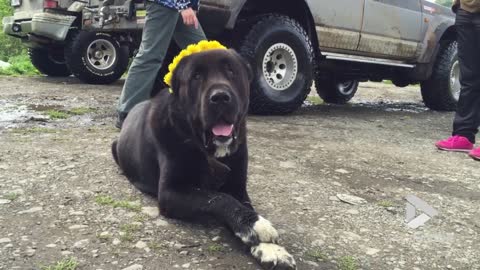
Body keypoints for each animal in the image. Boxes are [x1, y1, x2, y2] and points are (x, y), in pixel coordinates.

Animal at [112, 49, 296, 268]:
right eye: (196, 76)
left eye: (231, 71)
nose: (220, 97)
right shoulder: (171, 192)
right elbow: (217, 197)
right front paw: (255, 225)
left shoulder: (238, 187)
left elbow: (242, 203)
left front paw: (272, 249)